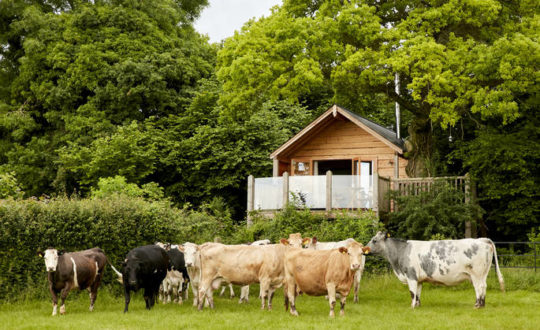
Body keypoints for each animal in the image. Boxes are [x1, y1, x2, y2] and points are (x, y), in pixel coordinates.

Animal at [364, 231, 504, 308]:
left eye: (374, 240)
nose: (364, 249)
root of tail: (482, 240)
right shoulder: (419, 279)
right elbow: (418, 293)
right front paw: (417, 305)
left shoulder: (411, 276)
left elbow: (412, 292)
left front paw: (412, 307)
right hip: (483, 273)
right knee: (483, 287)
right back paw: (482, 304)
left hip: (476, 273)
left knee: (479, 287)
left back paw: (477, 305)